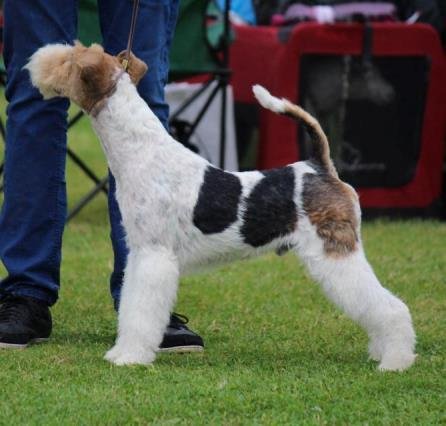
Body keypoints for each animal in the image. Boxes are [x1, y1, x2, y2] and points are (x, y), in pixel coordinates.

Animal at [27, 41, 418, 372]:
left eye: (70, 59)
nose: (35, 61)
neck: (142, 152)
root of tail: (320, 167)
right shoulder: (140, 253)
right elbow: (131, 306)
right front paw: (122, 351)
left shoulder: (154, 256)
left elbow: (140, 312)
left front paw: (131, 357)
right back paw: (382, 352)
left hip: (335, 252)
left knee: (390, 306)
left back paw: (395, 361)